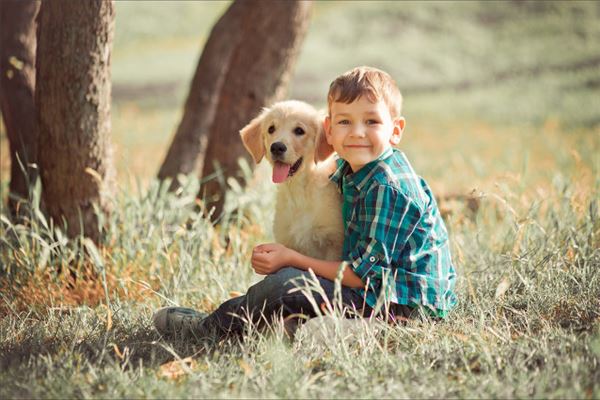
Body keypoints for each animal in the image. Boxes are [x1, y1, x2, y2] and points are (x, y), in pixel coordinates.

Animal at [239, 100, 342, 260]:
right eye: (271, 129)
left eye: (299, 130)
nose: (277, 147)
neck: (299, 193)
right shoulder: (287, 240)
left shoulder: (333, 243)